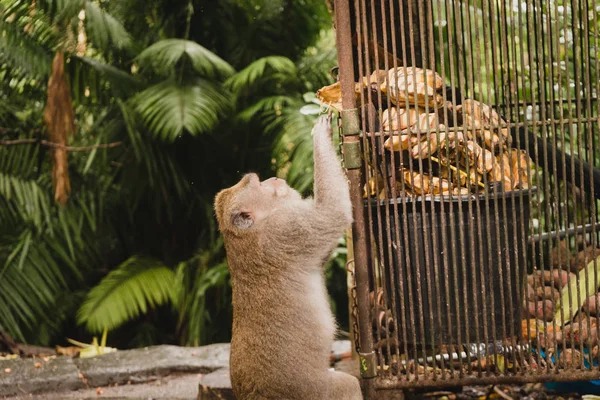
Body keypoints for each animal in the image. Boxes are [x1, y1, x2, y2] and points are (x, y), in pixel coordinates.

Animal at [216, 115, 364, 400]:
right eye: (257, 183)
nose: (274, 177)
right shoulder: (286, 229)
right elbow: (332, 213)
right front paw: (320, 134)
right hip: (312, 391)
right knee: (347, 386)